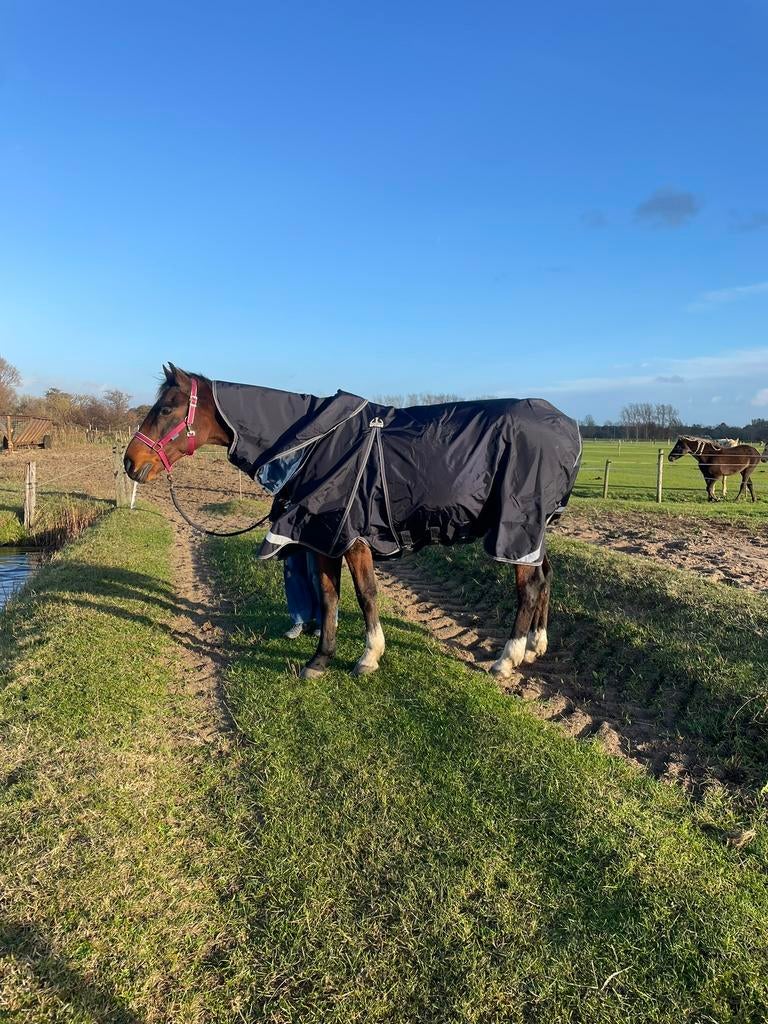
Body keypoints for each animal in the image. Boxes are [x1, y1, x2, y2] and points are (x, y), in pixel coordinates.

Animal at [124, 365, 581, 680]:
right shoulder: (321, 536)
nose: (130, 462)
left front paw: (369, 656)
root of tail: (569, 429)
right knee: (547, 576)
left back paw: (508, 658)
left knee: (530, 588)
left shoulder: (350, 536)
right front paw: (319, 659)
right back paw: (536, 646)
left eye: (166, 408)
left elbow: (365, 594)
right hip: (535, 531)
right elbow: (329, 597)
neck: (315, 443)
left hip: (515, 527)